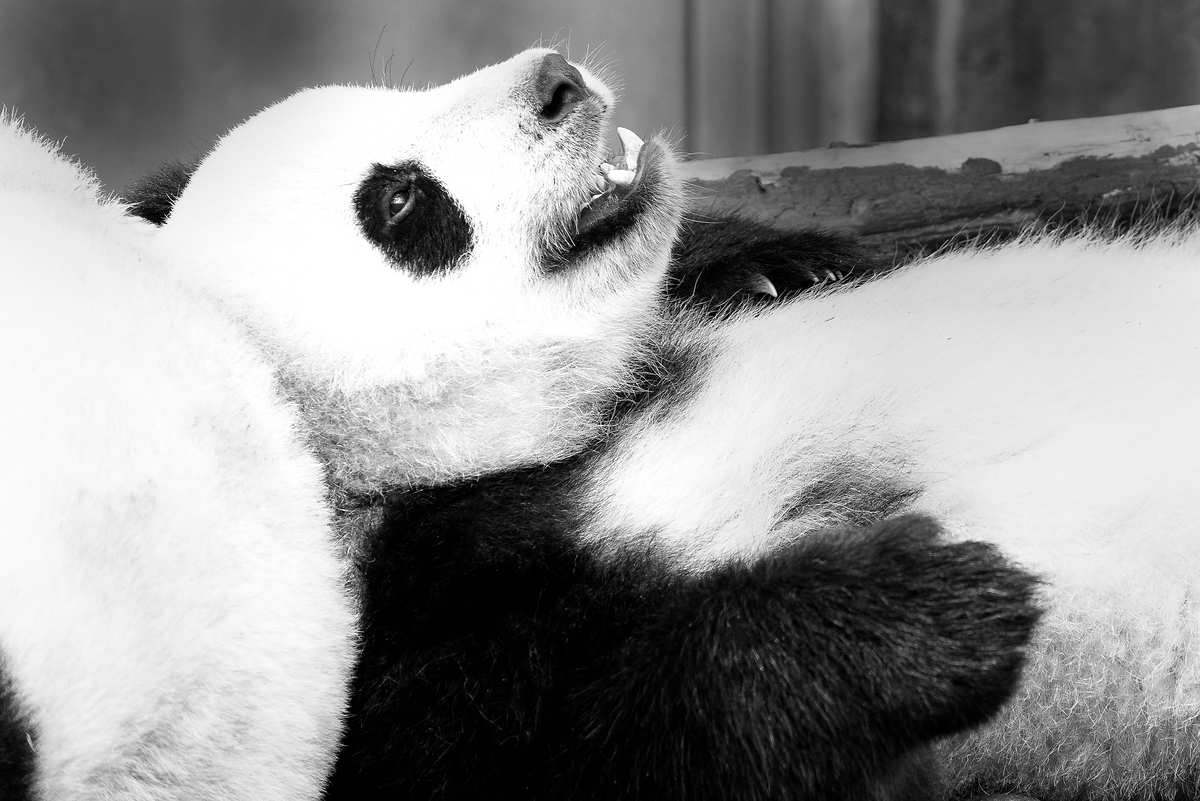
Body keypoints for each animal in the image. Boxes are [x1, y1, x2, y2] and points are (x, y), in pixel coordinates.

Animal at [120, 49, 1050, 800]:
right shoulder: (379, 659)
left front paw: (778, 267)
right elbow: (574, 752)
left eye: (394, 91)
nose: (555, 79)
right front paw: (911, 615)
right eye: (401, 201)